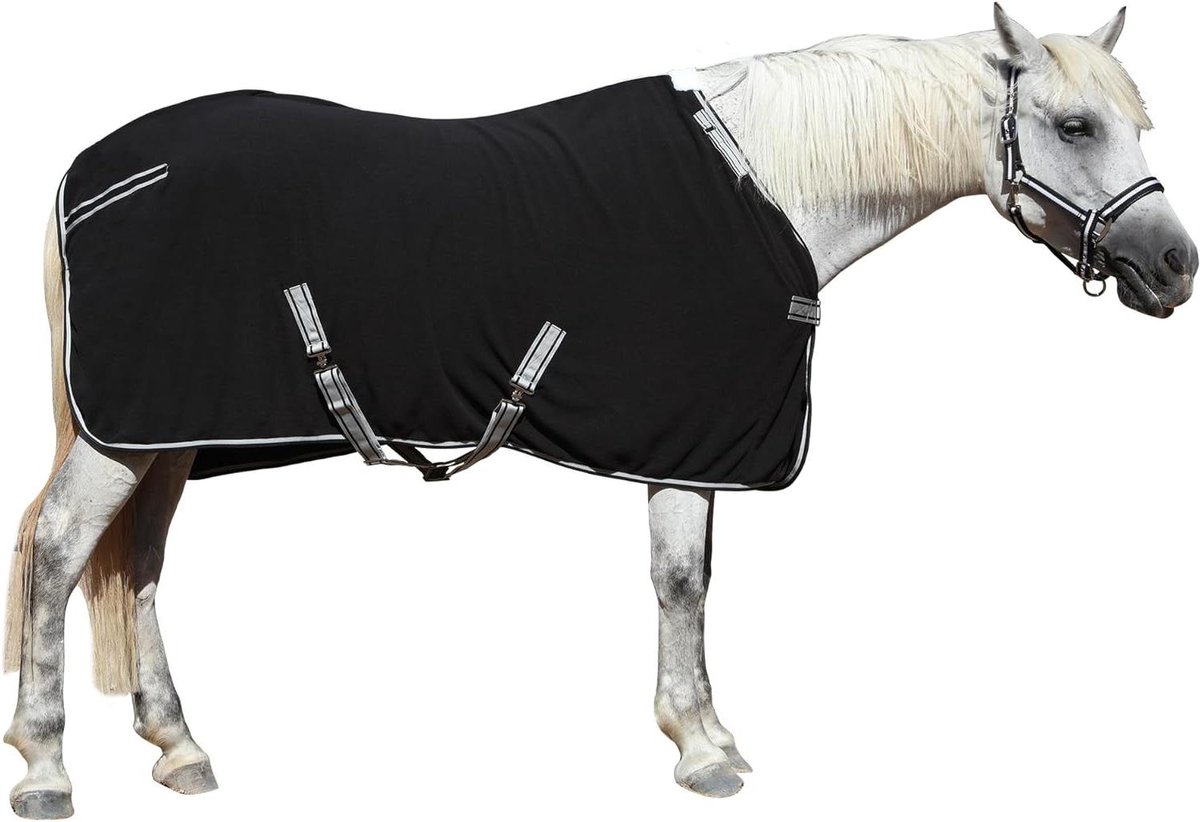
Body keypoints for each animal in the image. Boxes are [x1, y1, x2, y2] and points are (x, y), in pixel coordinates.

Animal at [4, 4, 1195, 818]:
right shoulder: (689, 434)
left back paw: (180, 747)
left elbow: (698, 581)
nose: (1174, 267)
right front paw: (702, 753)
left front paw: (706, 729)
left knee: (140, 560)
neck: (770, 186)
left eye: (1137, 122)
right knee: (58, 552)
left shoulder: (701, 442)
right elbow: (678, 583)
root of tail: (91, 171)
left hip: (166, 433)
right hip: (129, 434)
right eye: (1075, 124)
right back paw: (47, 767)